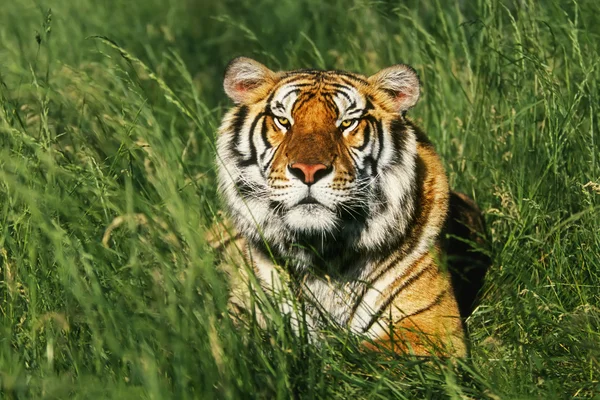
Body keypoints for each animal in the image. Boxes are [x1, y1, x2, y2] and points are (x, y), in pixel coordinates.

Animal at [209, 56, 490, 356]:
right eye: (283, 121)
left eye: (347, 123)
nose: (309, 171)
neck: (321, 253)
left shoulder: (430, 329)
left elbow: (354, 358)